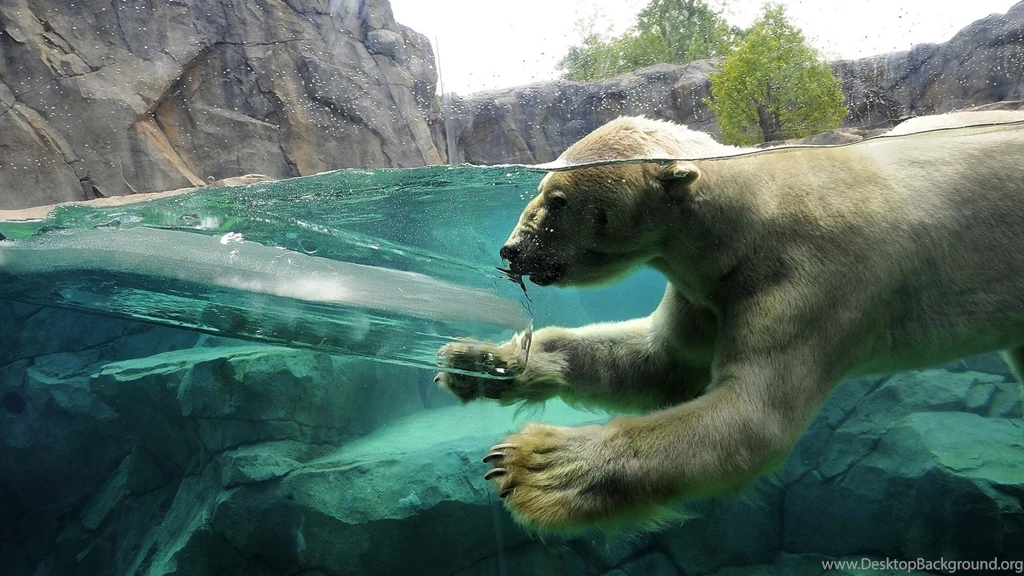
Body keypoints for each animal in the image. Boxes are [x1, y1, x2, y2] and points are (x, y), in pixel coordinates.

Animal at [437, 115, 1024, 532]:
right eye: (539, 191)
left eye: (558, 199)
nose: (511, 249)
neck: (748, 223)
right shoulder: (706, 291)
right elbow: (659, 360)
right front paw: (477, 361)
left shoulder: (806, 283)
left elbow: (751, 416)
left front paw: (532, 464)